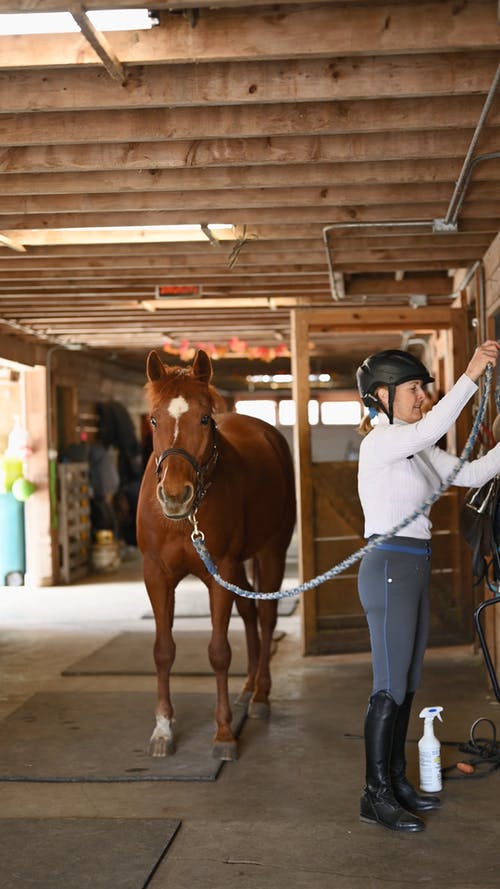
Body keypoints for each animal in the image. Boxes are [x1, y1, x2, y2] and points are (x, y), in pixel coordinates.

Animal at [135, 346, 294, 756]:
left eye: (205, 419)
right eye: (154, 420)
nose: (175, 495)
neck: (183, 521)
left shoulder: (219, 571)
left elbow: (219, 652)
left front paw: (224, 733)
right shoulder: (156, 575)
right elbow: (163, 650)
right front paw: (163, 729)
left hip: (270, 553)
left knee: (266, 616)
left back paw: (260, 696)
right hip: (240, 568)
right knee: (251, 613)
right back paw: (248, 688)